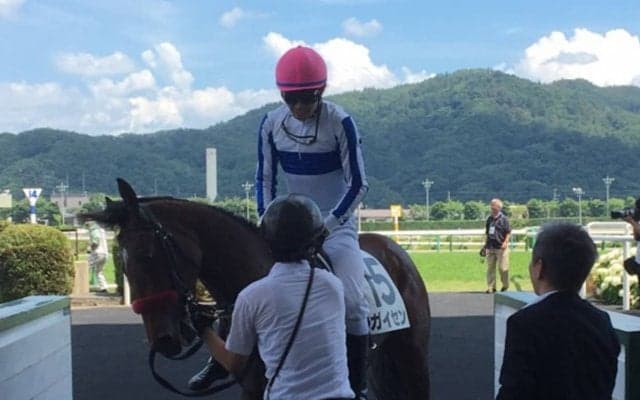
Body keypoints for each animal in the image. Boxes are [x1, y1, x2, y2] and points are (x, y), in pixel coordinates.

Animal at [84, 178, 431, 400]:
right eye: (121, 261)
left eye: (147, 255)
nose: (163, 341)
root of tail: (393, 246)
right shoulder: (253, 386)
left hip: (412, 354)